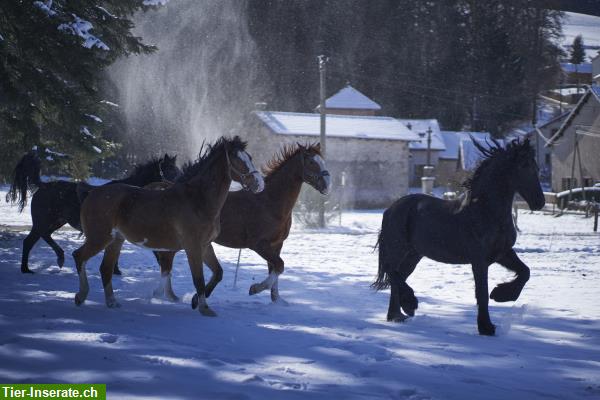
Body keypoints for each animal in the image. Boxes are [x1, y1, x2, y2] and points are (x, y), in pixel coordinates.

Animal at [5, 151, 180, 276]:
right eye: (169, 169)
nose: (179, 183)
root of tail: (44, 186)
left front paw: (116, 271)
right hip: (43, 222)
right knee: (29, 241)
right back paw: (28, 268)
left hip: (56, 221)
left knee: (44, 236)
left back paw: (58, 257)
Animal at [72, 138, 264, 316]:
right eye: (238, 160)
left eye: (250, 157)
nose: (259, 184)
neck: (198, 200)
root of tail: (93, 192)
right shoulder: (192, 247)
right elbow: (198, 278)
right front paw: (204, 308)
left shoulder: (205, 246)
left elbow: (218, 273)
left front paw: (195, 301)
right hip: (100, 238)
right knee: (79, 256)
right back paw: (81, 296)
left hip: (115, 241)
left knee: (105, 268)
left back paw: (112, 302)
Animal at [154, 144, 332, 304]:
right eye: (311, 162)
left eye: (322, 161)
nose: (327, 184)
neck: (269, 203)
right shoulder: (259, 245)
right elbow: (279, 265)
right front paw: (255, 289)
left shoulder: (277, 245)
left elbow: (275, 269)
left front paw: (277, 300)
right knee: (166, 263)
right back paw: (165, 296)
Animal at [372, 139, 548, 336]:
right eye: (523, 165)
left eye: (535, 166)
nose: (539, 202)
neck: (486, 210)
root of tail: (391, 208)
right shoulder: (479, 260)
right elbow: (482, 292)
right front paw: (486, 326)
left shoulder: (503, 253)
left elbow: (525, 272)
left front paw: (501, 295)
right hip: (399, 249)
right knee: (392, 272)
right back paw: (409, 304)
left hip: (413, 255)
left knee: (397, 276)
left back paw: (397, 315)